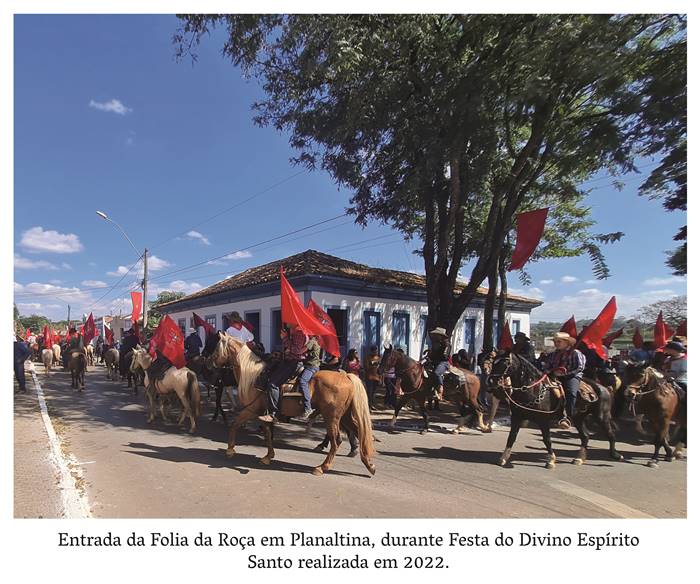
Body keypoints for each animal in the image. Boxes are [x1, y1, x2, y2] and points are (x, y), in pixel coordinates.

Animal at [212, 330, 378, 476]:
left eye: (216, 346)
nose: (210, 363)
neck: (253, 375)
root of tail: (346, 376)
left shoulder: (251, 409)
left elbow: (234, 425)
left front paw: (230, 450)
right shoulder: (264, 413)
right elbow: (267, 434)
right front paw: (268, 456)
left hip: (332, 417)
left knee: (336, 440)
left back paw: (322, 467)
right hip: (345, 416)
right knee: (360, 433)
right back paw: (369, 465)